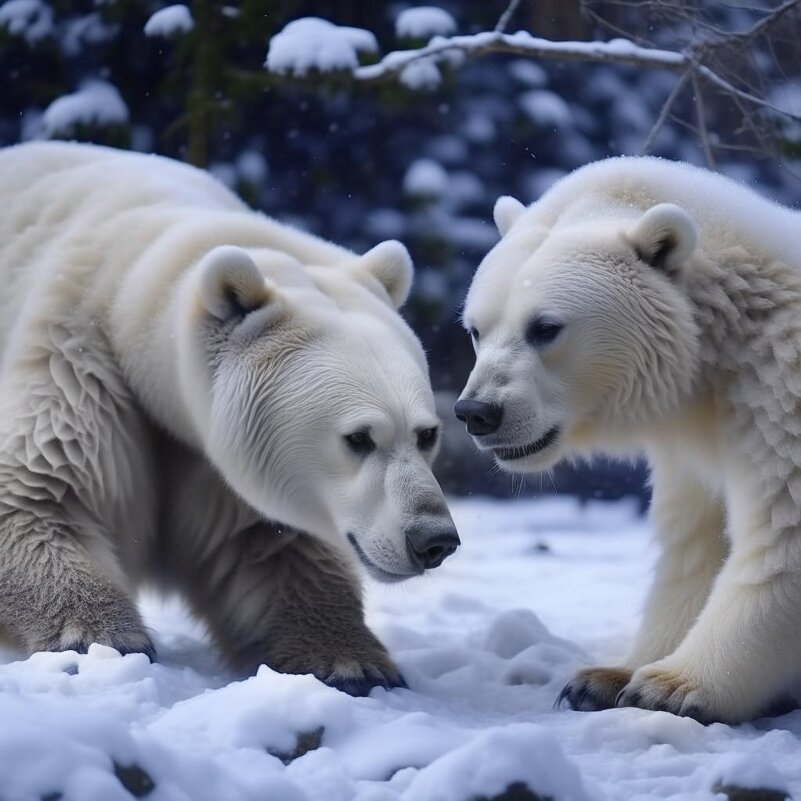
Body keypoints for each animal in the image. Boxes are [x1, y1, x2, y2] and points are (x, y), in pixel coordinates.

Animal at [0, 141, 456, 692]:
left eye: (427, 434)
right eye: (358, 438)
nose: (433, 539)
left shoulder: (213, 452)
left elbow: (270, 544)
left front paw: (351, 662)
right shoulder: (76, 354)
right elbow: (39, 491)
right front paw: (98, 636)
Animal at [460, 158, 800, 724]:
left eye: (545, 327)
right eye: (475, 329)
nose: (478, 412)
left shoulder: (784, 393)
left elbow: (785, 539)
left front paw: (670, 687)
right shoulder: (694, 442)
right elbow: (695, 545)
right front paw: (605, 677)